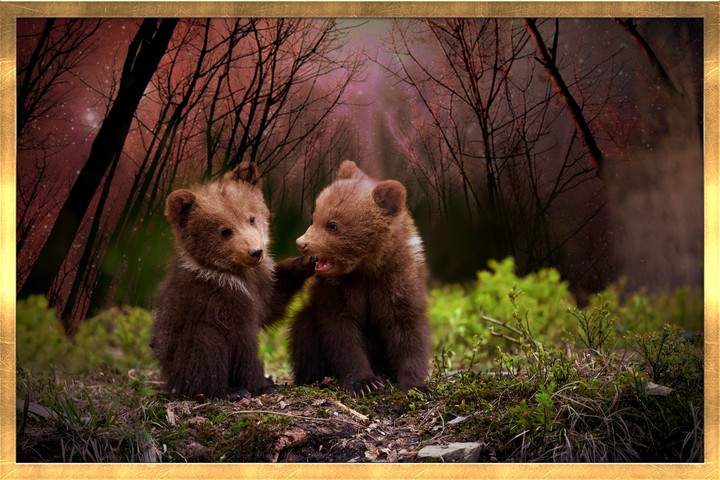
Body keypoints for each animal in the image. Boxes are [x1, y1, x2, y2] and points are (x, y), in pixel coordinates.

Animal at [152, 161, 314, 400]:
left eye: (251, 218)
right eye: (225, 231)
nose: (256, 252)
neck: (235, 274)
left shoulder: (259, 284)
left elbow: (272, 302)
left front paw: (307, 261)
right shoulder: (220, 299)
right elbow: (242, 344)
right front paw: (263, 385)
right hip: (187, 343)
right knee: (206, 351)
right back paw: (229, 391)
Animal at [291, 160, 432, 396]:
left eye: (332, 225)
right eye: (315, 216)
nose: (302, 242)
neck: (366, 267)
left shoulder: (398, 281)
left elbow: (408, 329)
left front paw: (416, 385)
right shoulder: (338, 291)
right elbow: (342, 333)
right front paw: (364, 383)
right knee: (304, 330)